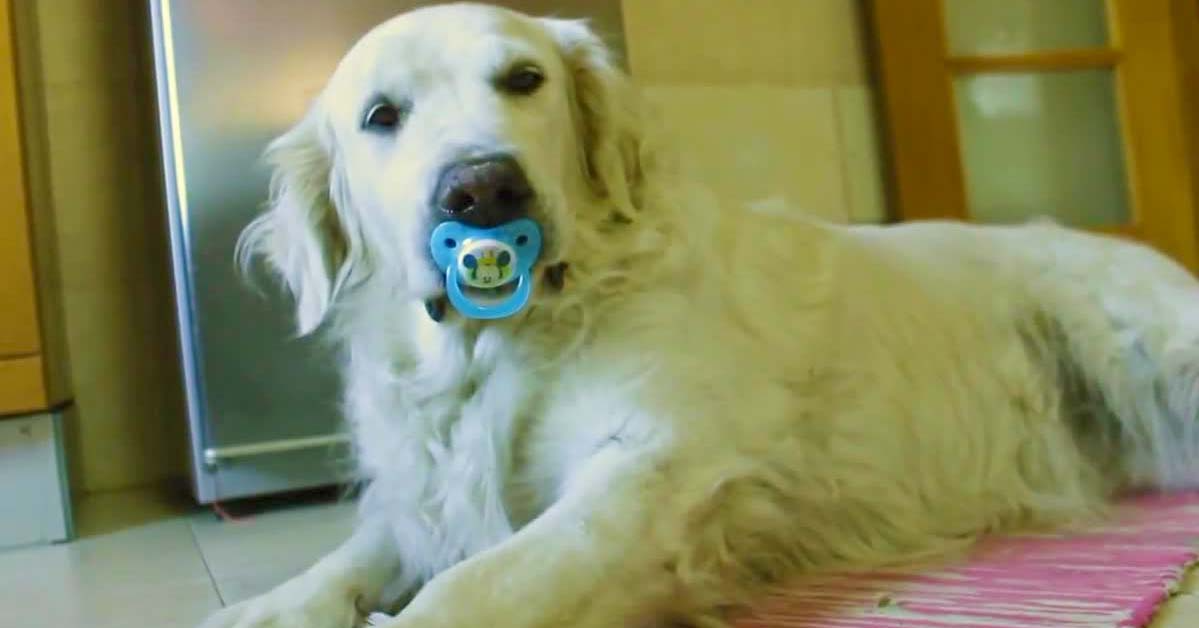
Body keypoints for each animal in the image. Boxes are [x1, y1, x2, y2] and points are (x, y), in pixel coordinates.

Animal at [208, 2, 1199, 623]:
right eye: (382, 115)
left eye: (523, 78)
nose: (482, 188)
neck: (500, 349)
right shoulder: (425, 489)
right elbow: (355, 555)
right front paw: (267, 608)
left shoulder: (659, 467)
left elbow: (477, 586)